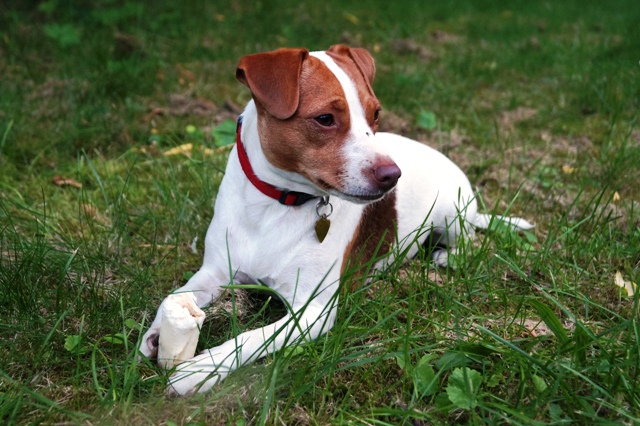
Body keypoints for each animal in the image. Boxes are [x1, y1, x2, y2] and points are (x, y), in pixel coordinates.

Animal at [139, 45, 528, 394]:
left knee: (467, 237)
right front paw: (159, 333)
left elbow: (251, 338)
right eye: (325, 119)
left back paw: (448, 255)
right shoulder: (216, 271)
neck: (277, 203)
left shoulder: (313, 311)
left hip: (452, 210)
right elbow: (175, 295)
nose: (392, 176)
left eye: (375, 114)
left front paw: (202, 368)